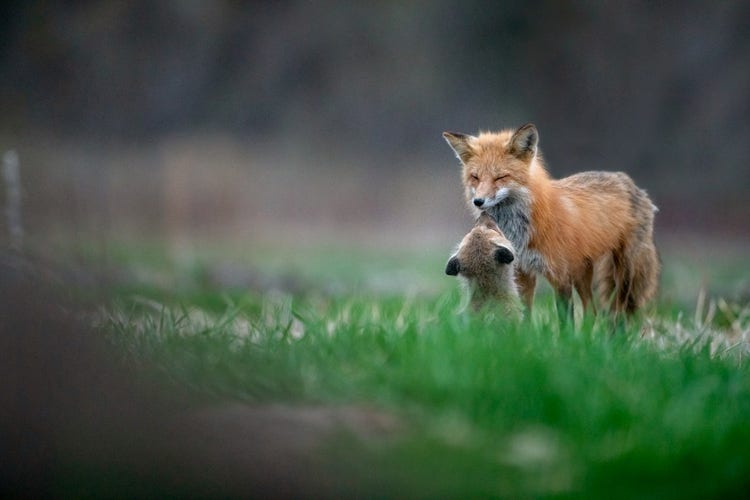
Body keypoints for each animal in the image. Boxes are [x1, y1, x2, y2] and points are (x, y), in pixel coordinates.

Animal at [443, 123, 659, 318]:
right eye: (475, 177)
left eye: (500, 177)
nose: (478, 202)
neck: (520, 230)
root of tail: (627, 180)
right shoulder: (522, 272)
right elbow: (526, 315)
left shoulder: (560, 276)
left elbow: (565, 322)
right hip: (582, 273)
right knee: (591, 311)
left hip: (625, 273)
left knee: (621, 310)